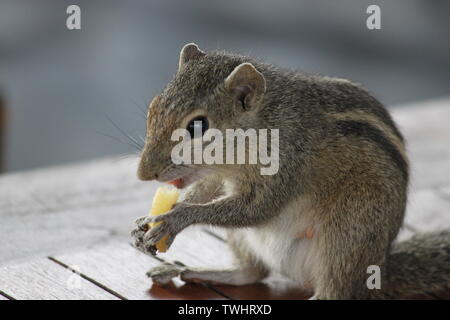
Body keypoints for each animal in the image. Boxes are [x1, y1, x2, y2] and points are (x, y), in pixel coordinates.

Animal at [130, 43, 450, 300]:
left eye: (198, 126)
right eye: (153, 108)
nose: (144, 174)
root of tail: (381, 268)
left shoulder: (286, 164)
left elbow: (255, 210)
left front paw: (175, 218)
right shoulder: (218, 176)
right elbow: (206, 191)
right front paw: (146, 222)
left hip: (349, 231)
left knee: (335, 292)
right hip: (247, 240)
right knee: (253, 272)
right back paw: (192, 270)